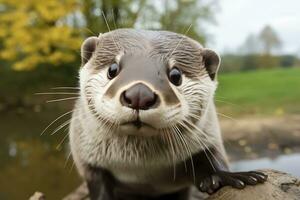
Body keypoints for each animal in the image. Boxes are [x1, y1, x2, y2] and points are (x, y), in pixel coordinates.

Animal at [69, 28, 268, 199]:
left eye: (175, 75)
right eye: (113, 69)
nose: (139, 95)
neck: (143, 169)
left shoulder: (208, 137)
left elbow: (211, 160)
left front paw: (230, 176)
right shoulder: (88, 160)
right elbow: (97, 183)